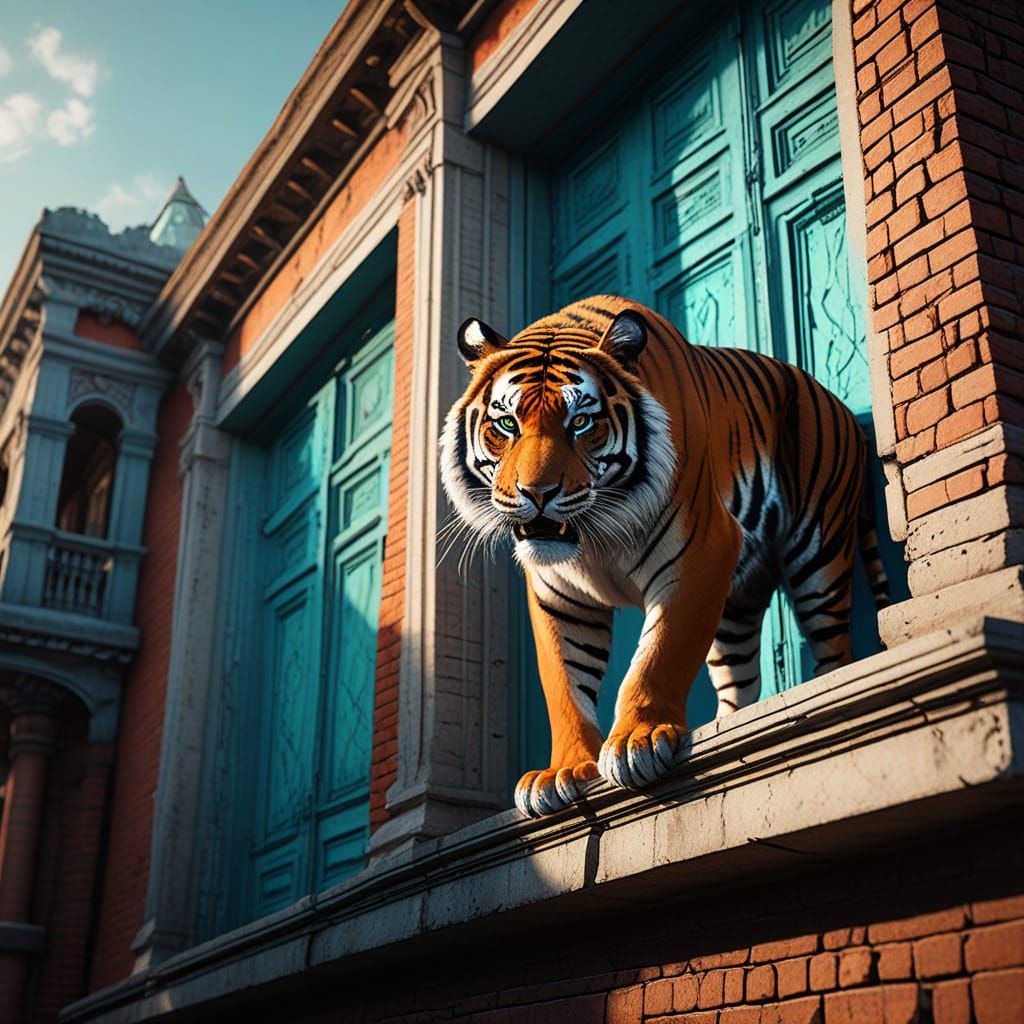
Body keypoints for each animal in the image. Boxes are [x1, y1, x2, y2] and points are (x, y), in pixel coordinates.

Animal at [440, 295, 889, 818]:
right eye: (507, 424)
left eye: (581, 423)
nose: (537, 493)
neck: (593, 538)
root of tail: (838, 404)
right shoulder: (558, 595)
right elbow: (564, 681)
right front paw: (562, 772)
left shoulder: (702, 550)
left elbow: (661, 651)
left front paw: (638, 740)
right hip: (736, 605)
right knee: (738, 673)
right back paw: (726, 727)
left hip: (820, 557)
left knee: (833, 647)